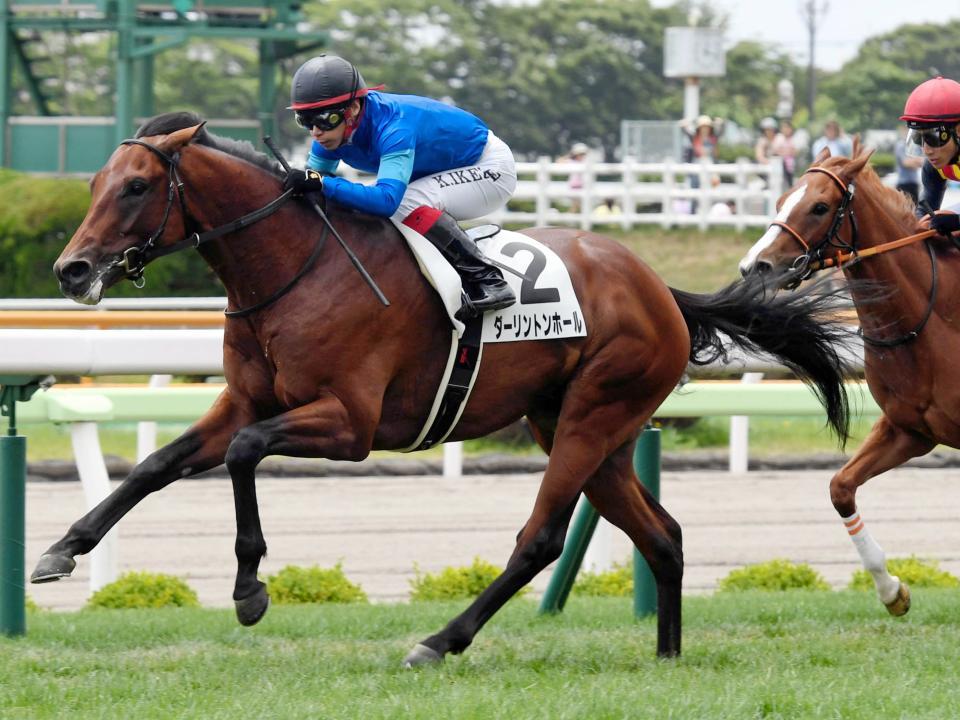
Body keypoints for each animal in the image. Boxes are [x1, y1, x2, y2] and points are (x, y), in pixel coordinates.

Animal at [35, 111, 854, 665]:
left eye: (137, 186)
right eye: (95, 183)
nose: (72, 271)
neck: (293, 266)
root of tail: (658, 288)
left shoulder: (351, 425)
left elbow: (242, 452)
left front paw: (249, 590)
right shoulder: (245, 399)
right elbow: (157, 464)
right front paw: (62, 550)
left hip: (592, 415)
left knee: (541, 538)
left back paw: (440, 639)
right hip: (588, 429)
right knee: (663, 536)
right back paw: (667, 655)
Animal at [738, 139, 959, 616]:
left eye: (820, 206)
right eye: (782, 200)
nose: (755, 267)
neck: (934, 319)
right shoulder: (909, 429)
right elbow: (841, 487)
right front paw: (892, 591)